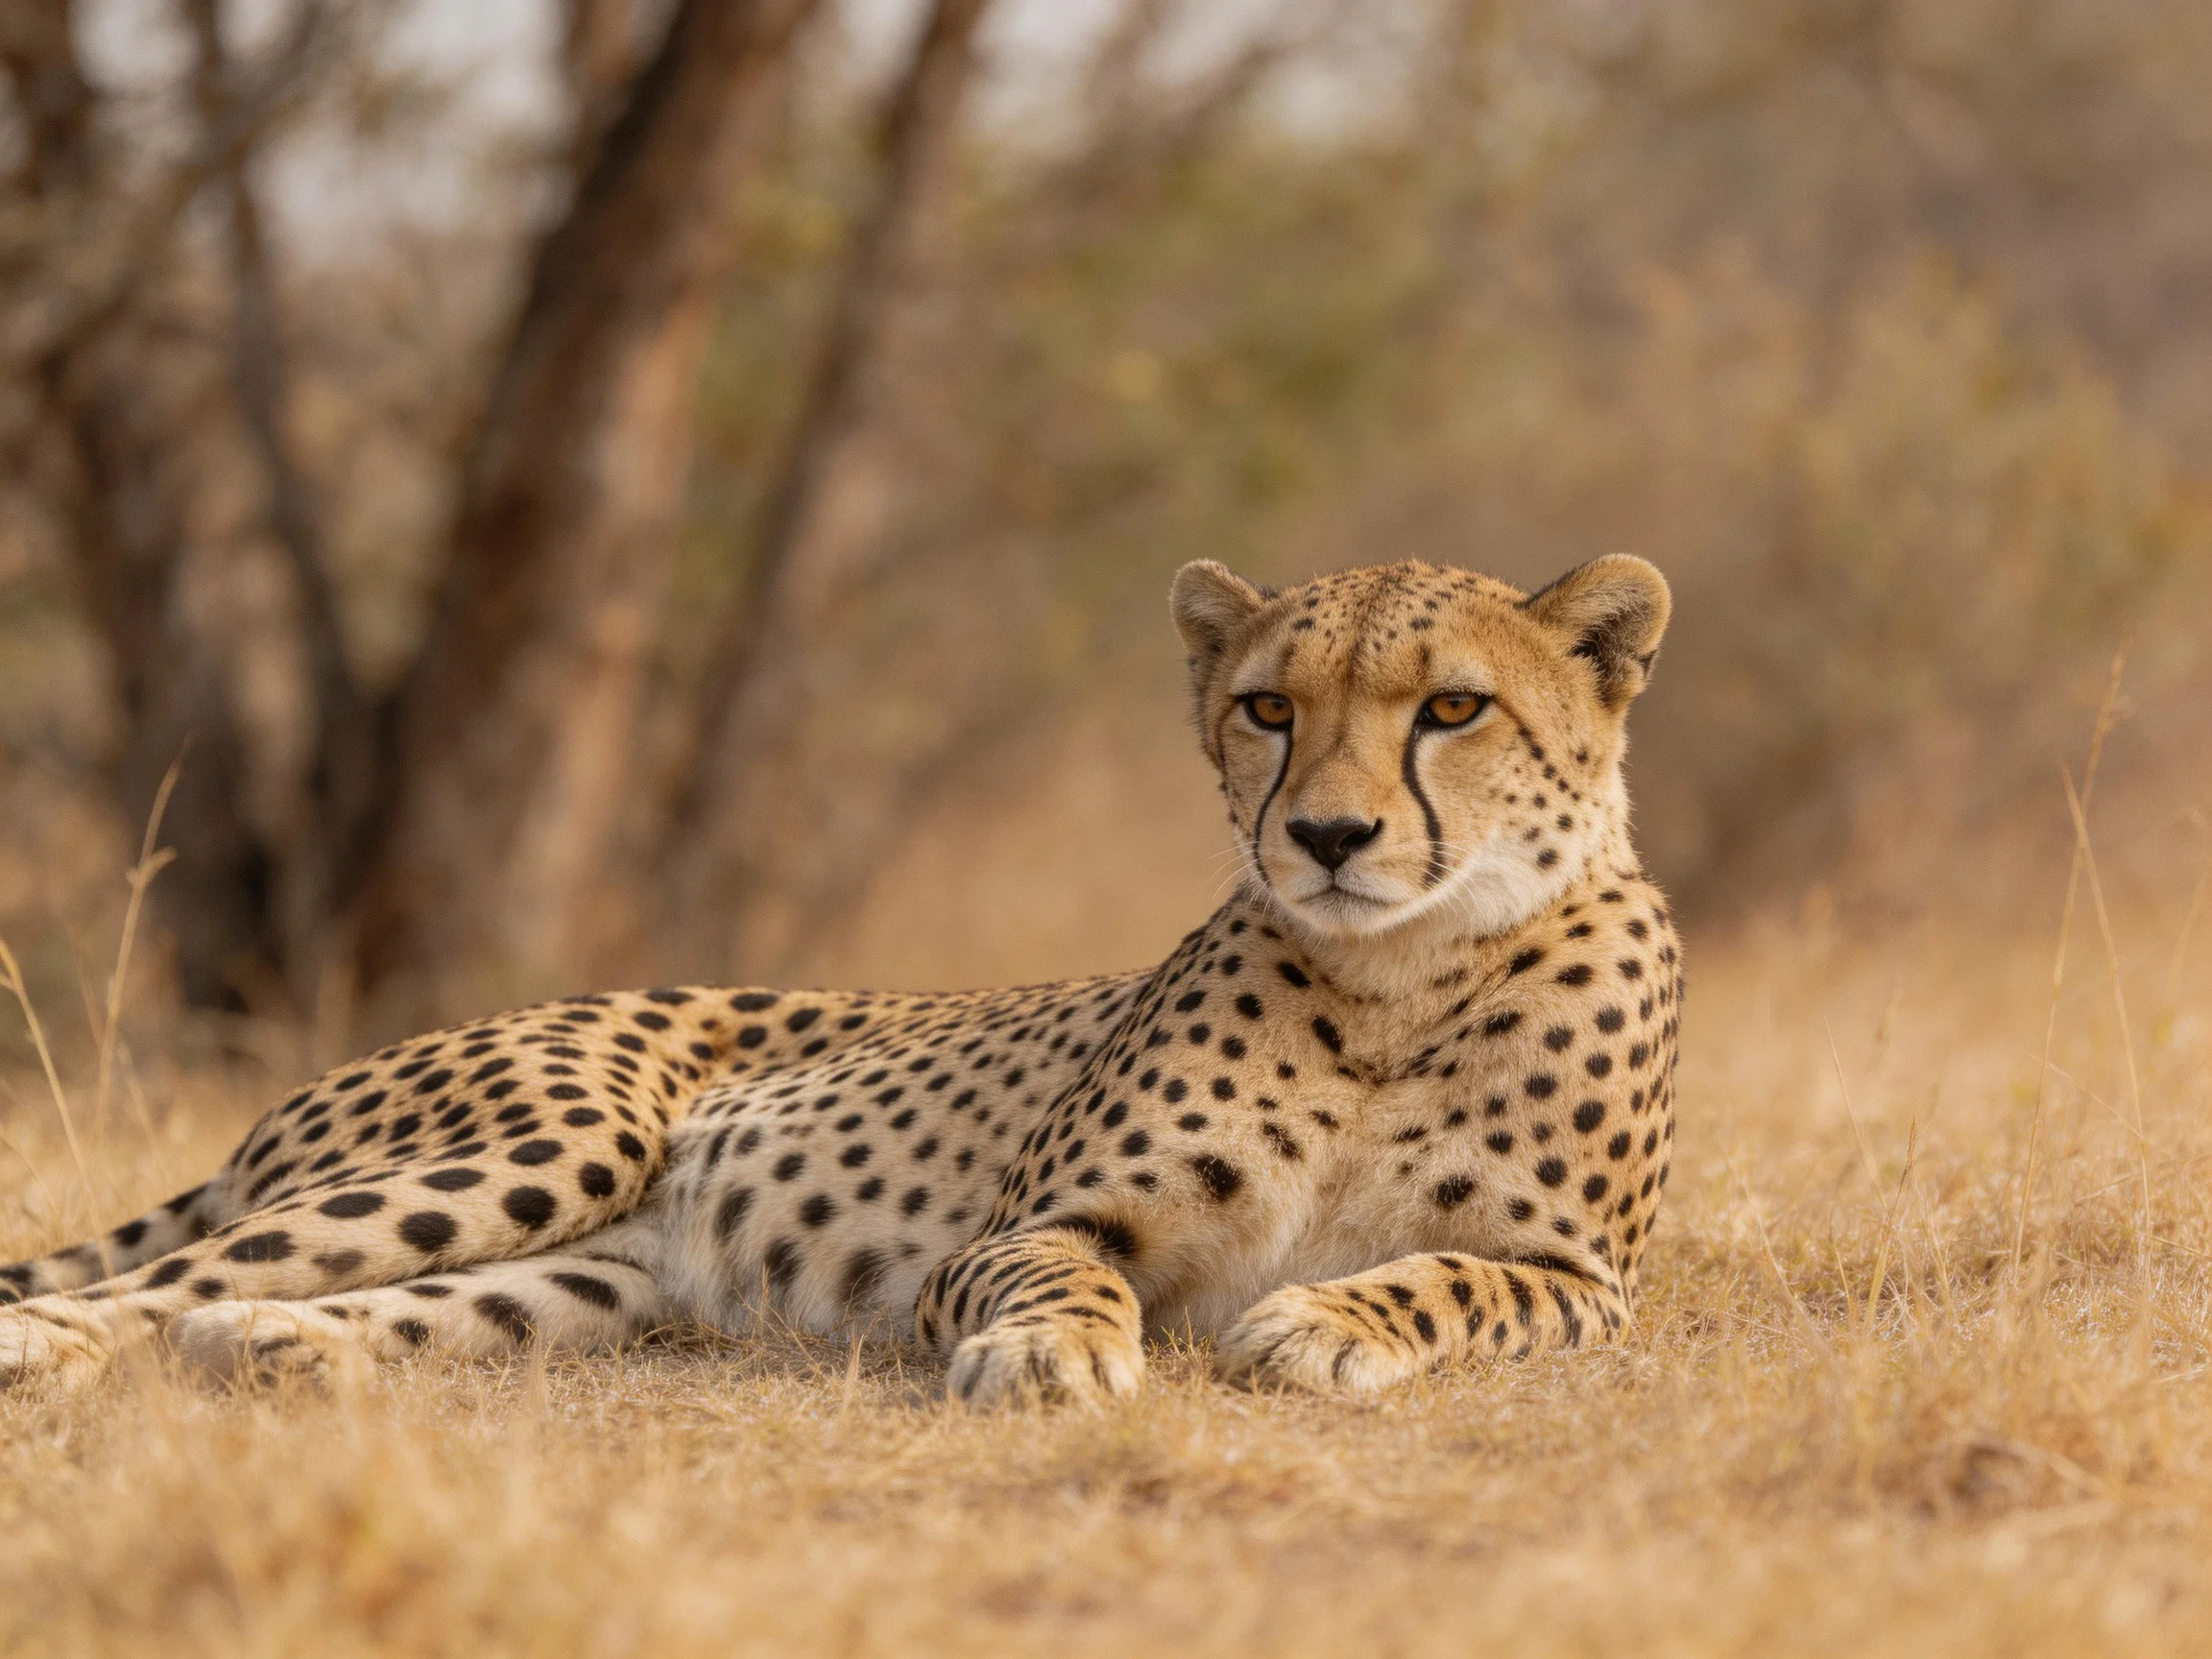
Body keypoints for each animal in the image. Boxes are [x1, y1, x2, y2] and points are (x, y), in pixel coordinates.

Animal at [0, 555, 1681, 1404]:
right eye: (1269, 707)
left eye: (1452, 709)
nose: (1327, 835)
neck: (1398, 976)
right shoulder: (1025, 1228)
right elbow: (1061, 1273)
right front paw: (1054, 1353)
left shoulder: (1584, 1281)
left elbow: (1455, 1278)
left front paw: (1325, 1322)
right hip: (558, 1141)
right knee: (149, 1278)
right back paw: (54, 1347)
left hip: (600, 1276)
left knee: (285, 1303)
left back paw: (268, 1344)